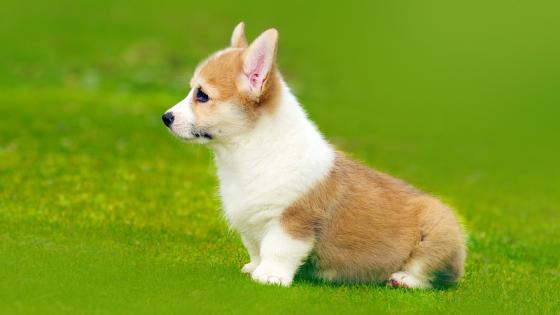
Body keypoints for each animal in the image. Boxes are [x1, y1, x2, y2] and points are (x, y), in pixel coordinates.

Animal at [164, 21, 466, 288]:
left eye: (202, 95)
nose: (166, 118)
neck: (249, 151)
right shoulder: (250, 221)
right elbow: (256, 248)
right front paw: (254, 267)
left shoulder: (293, 221)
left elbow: (276, 249)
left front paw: (270, 276)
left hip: (438, 232)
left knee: (426, 273)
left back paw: (402, 279)